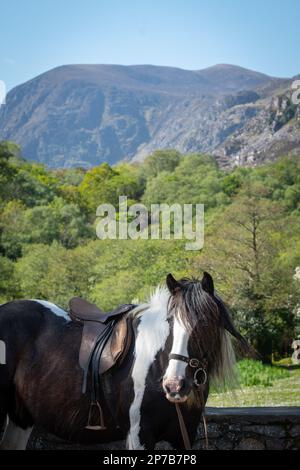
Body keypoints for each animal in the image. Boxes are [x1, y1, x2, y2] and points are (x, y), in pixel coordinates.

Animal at [0, 274, 247, 450]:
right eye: (170, 323)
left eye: (204, 324)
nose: (174, 385)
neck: (157, 364)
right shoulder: (140, 434)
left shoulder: (184, 436)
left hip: (20, 418)